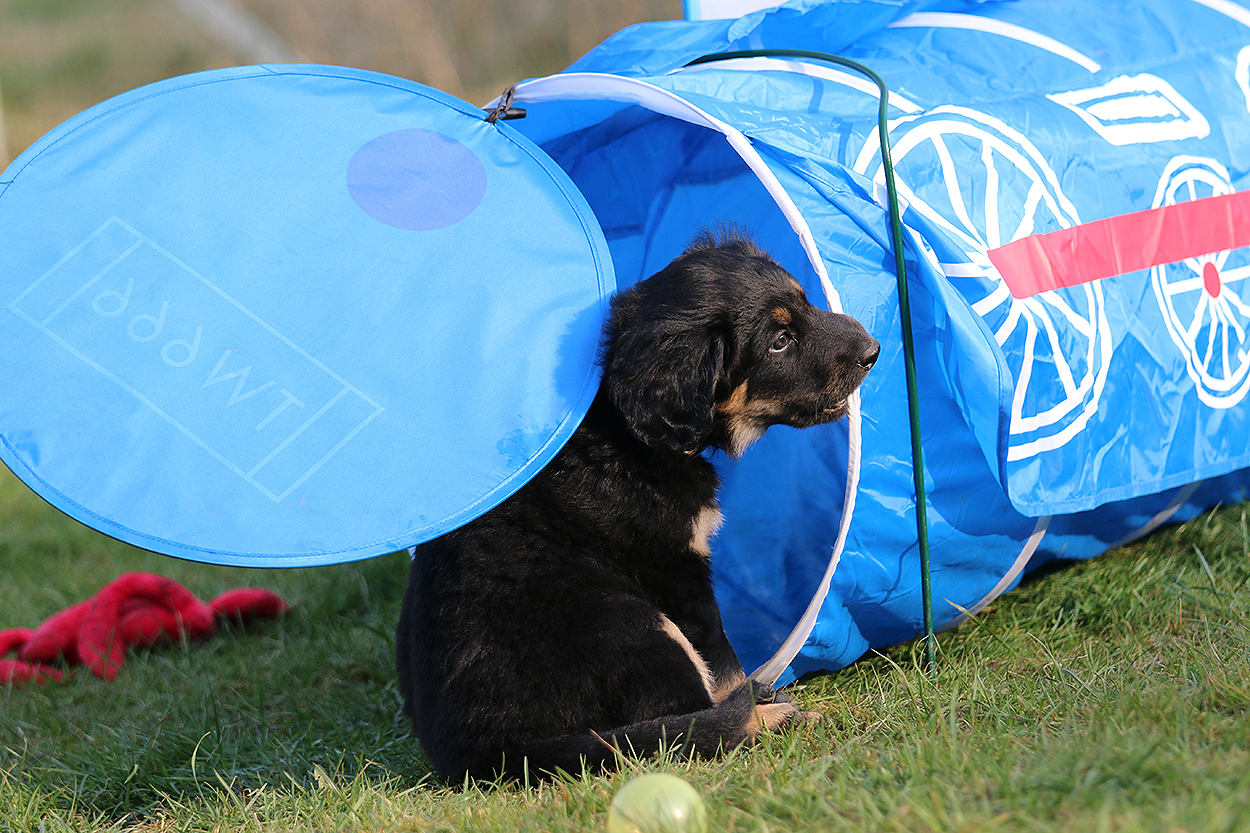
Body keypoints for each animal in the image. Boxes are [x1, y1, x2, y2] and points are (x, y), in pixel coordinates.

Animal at [396, 230, 879, 782]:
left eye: (806, 301)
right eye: (780, 342)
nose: (874, 350)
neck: (625, 428)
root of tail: (483, 757)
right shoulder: (676, 568)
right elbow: (723, 660)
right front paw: (750, 696)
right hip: (633, 622)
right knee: (679, 727)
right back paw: (772, 716)